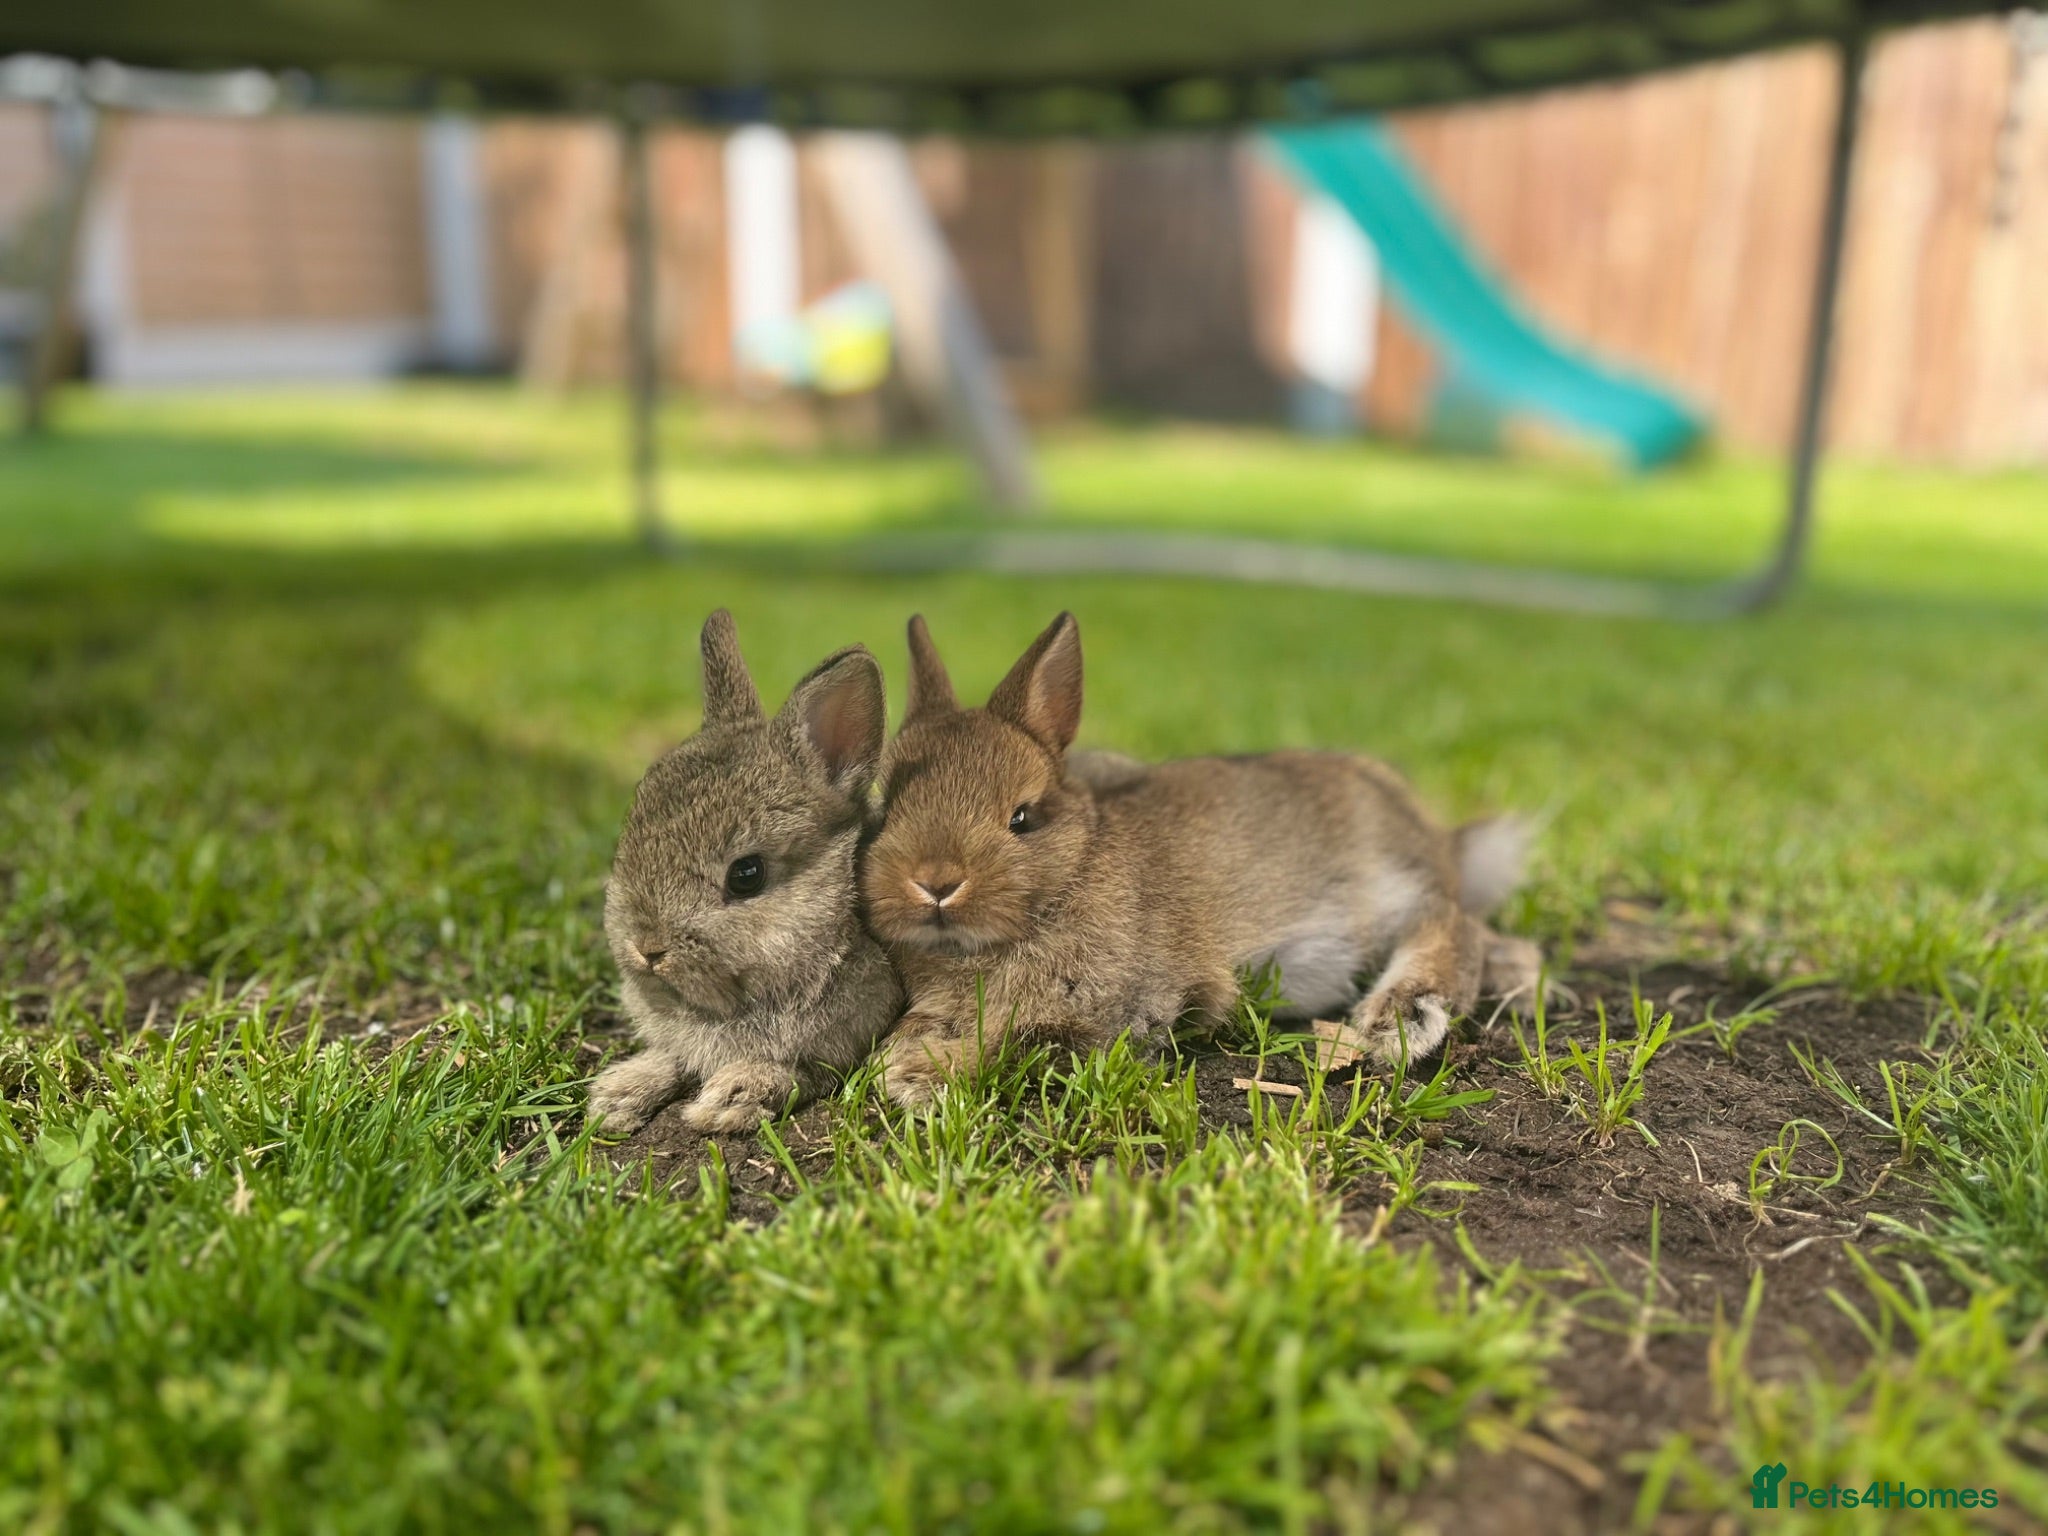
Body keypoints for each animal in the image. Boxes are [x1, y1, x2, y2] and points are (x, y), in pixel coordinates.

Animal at [590, 610, 905, 1134]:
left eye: (746, 875)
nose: (646, 948)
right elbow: (673, 1057)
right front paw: (616, 1095)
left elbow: (801, 1071)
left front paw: (731, 1098)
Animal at [859, 611, 1543, 1106]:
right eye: (884, 808)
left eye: (1021, 818)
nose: (935, 883)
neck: (1071, 875)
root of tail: (1434, 835)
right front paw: (900, 1059)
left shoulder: (1124, 1007)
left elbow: (1019, 1039)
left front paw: (916, 1077)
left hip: (1379, 894)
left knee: (1452, 923)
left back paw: (1404, 1014)